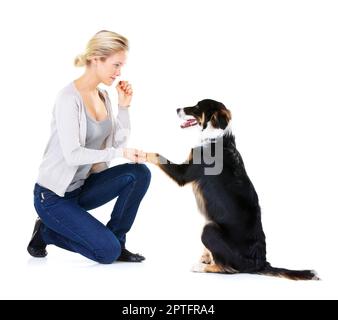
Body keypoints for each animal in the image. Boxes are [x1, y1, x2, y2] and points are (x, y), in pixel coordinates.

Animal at [147, 99, 318, 280]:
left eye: (197, 107)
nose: (176, 109)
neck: (215, 136)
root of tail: (260, 263)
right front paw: (206, 255)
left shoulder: (182, 174)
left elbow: (156, 155)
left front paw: (139, 153)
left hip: (209, 229)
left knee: (227, 268)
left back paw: (201, 266)